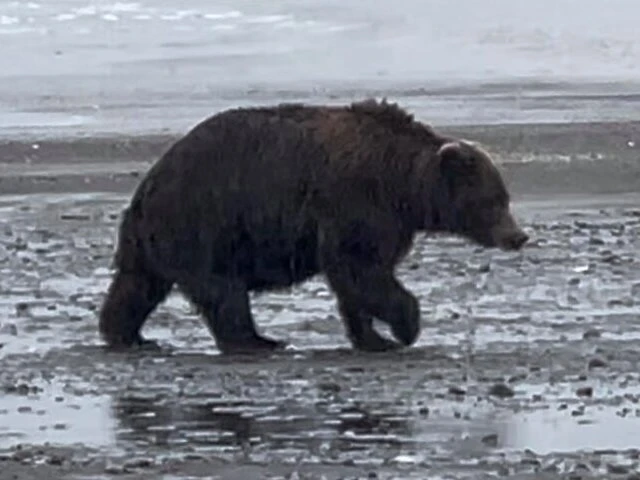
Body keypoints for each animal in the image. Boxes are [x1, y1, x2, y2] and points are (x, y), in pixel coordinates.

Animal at [98, 98, 529, 355]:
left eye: (506, 197)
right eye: (493, 200)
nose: (518, 236)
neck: (403, 185)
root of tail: (148, 184)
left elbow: (360, 279)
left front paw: (372, 337)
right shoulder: (356, 201)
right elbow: (359, 267)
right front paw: (405, 328)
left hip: (156, 237)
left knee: (137, 285)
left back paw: (128, 335)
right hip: (206, 223)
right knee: (222, 290)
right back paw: (259, 341)